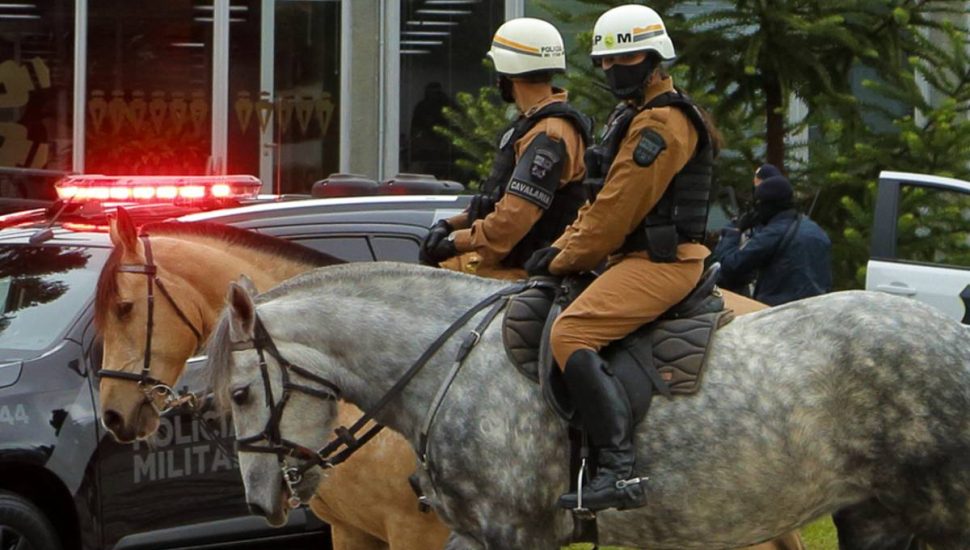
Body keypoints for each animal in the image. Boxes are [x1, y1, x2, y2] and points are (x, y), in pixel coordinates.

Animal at [208, 266, 968, 548]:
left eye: (241, 394)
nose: (261, 500)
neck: (456, 367)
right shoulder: (475, 536)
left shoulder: (519, 535)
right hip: (875, 518)